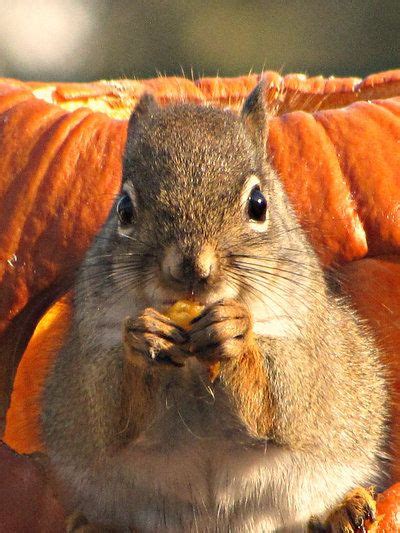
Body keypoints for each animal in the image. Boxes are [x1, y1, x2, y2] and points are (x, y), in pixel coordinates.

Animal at [42, 84, 390, 532]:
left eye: (258, 204)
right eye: (124, 210)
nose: (193, 267)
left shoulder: (307, 346)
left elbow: (283, 399)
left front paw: (236, 334)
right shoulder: (89, 357)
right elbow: (108, 413)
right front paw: (143, 338)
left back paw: (345, 508)